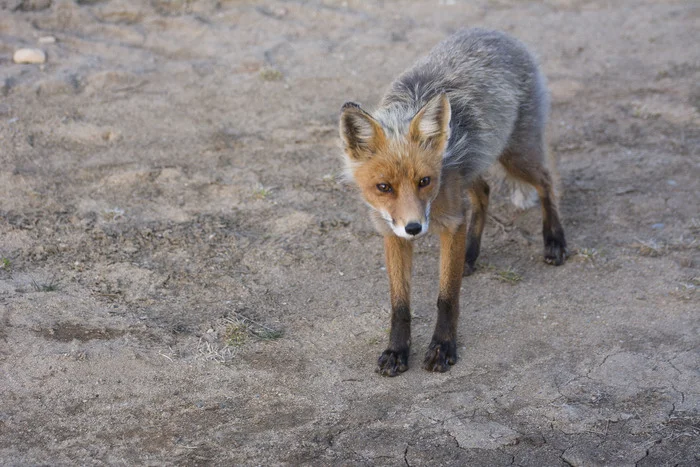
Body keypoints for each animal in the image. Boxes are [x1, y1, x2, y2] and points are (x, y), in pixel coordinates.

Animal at [340, 28, 568, 376]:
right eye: (383, 187)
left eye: (424, 181)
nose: (414, 228)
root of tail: (497, 33)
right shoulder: (393, 234)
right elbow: (400, 304)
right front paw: (397, 351)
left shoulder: (452, 224)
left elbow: (447, 297)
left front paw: (443, 347)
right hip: (473, 168)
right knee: (485, 192)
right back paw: (471, 255)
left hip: (516, 156)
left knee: (547, 181)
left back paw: (554, 239)